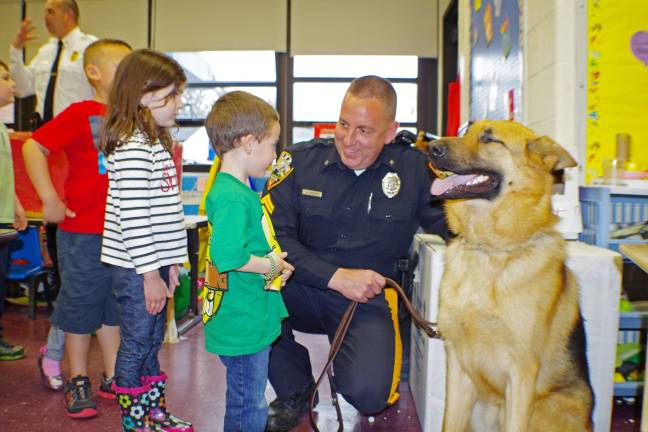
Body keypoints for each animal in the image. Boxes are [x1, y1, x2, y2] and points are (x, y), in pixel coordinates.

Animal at [428, 120, 596, 432]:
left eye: (490, 139)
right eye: (465, 131)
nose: (431, 147)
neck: (492, 251)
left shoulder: (520, 375)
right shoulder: (457, 367)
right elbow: (449, 423)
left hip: (542, 408)